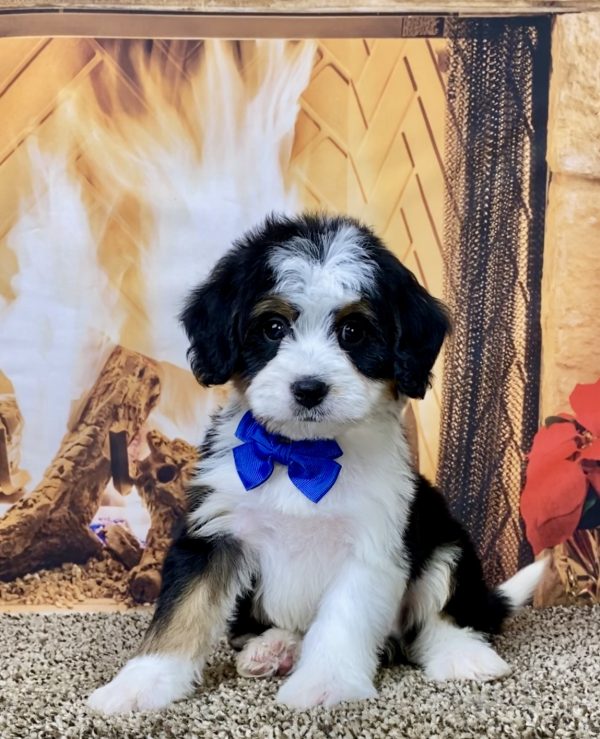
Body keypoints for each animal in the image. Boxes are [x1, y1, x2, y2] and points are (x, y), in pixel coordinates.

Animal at [88, 211, 544, 712]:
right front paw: (138, 685)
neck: (301, 455)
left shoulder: (373, 542)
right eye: (272, 328)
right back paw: (274, 647)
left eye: (353, 332)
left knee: (440, 613)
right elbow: (181, 611)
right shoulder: (214, 531)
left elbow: (342, 621)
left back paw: (463, 656)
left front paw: (324, 686)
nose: (309, 389)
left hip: (444, 536)